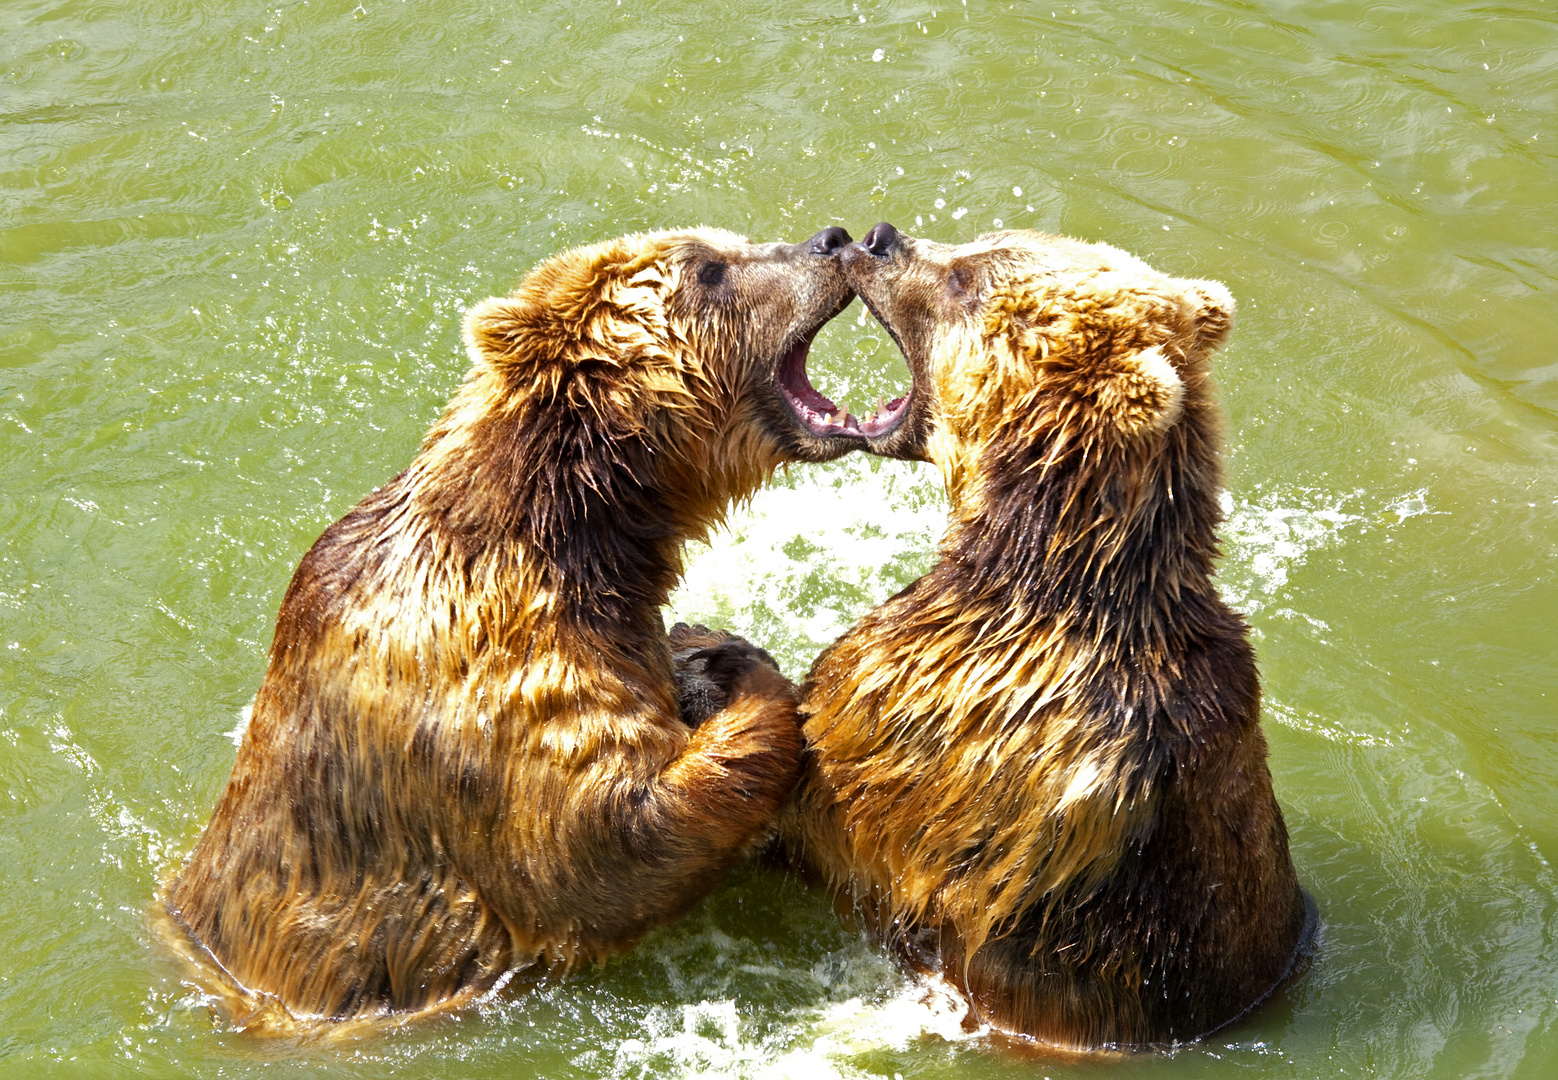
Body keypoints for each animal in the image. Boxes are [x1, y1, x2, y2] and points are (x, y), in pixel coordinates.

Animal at [161, 222, 903, 1034]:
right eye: (709, 268)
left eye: (730, 244)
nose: (830, 239)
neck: (576, 528)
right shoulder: (491, 674)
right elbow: (601, 842)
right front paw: (741, 672)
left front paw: (699, 648)